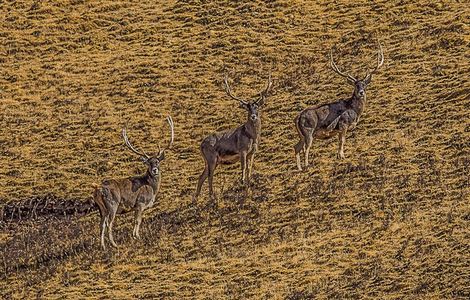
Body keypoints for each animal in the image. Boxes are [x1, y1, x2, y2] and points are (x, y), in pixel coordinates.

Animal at [92, 116, 174, 250]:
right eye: (149, 163)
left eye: (157, 162)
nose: (154, 170)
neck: (152, 189)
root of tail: (98, 189)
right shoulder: (140, 203)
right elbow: (137, 221)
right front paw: (136, 236)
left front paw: (135, 235)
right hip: (112, 204)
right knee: (109, 223)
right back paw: (114, 244)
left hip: (101, 209)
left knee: (101, 225)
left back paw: (102, 246)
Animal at [192, 73, 272, 204]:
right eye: (248, 108)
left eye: (257, 107)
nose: (253, 116)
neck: (252, 137)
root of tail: (201, 145)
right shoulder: (242, 150)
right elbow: (243, 167)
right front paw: (242, 182)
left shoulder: (252, 153)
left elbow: (249, 168)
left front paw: (249, 184)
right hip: (211, 158)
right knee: (209, 176)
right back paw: (212, 196)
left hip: (209, 161)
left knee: (201, 176)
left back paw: (195, 199)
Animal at [296, 41, 384, 171]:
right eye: (356, 85)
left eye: (364, 85)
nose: (361, 92)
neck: (354, 111)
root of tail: (297, 118)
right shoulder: (343, 123)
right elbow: (342, 140)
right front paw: (342, 156)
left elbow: (339, 140)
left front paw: (339, 155)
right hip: (308, 130)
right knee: (306, 148)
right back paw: (307, 165)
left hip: (301, 135)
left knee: (296, 147)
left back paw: (299, 168)